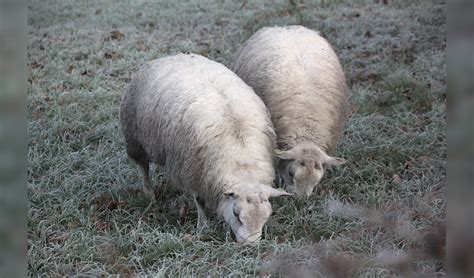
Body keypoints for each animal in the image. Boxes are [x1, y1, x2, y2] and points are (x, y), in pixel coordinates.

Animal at [119, 52, 288, 243]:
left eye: (266, 217)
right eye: (237, 214)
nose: (250, 245)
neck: (241, 156)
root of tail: (172, 56)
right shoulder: (195, 171)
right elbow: (199, 199)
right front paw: (203, 225)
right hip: (135, 138)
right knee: (143, 168)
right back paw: (150, 195)